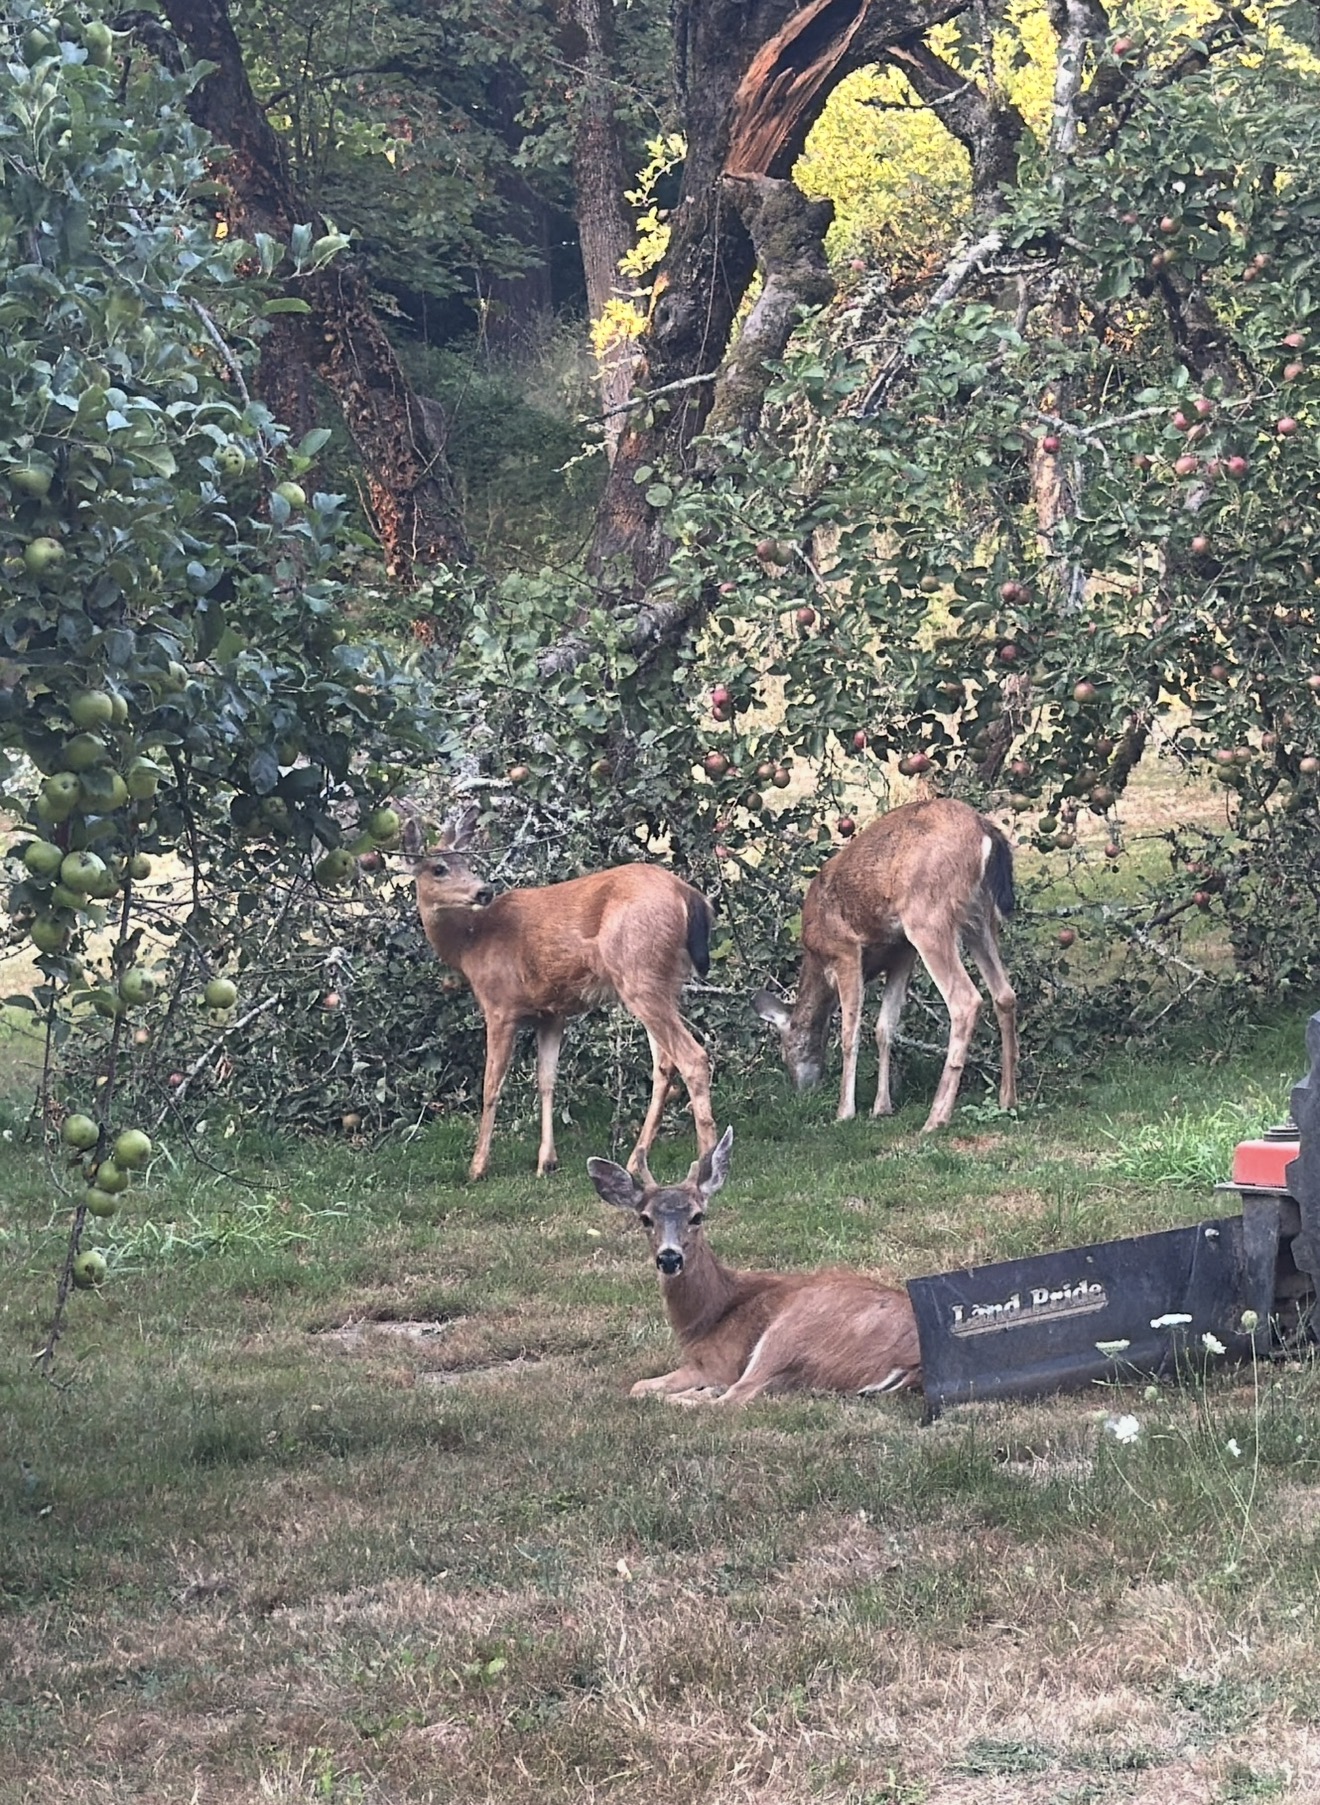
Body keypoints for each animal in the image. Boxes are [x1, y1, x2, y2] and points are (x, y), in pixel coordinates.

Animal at [405, 806, 717, 1181]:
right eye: (439, 868)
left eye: (466, 861)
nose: (483, 891)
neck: (469, 942)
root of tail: (688, 895)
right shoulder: (552, 1013)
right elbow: (546, 1080)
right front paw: (546, 1161)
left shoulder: (500, 1006)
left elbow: (491, 1084)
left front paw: (477, 1166)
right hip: (663, 980)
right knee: (665, 1064)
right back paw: (634, 1161)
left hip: (639, 974)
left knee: (692, 1057)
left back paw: (705, 1165)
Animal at [588, 1126, 922, 1406]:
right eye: (645, 1218)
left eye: (698, 1216)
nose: (669, 1258)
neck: (705, 1319)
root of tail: (911, 1362)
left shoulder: (717, 1362)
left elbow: (638, 1387)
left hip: (789, 1332)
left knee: (733, 1398)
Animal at [753, 797, 1017, 1134]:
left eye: (786, 1048)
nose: (801, 1090)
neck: (816, 957)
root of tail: (985, 831)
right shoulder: (901, 951)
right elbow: (884, 1028)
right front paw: (882, 1107)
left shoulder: (845, 951)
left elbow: (850, 1033)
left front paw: (845, 1111)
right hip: (980, 916)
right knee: (1004, 994)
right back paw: (1008, 1100)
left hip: (927, 917)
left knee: (966, 1000)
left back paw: (936, 1118)